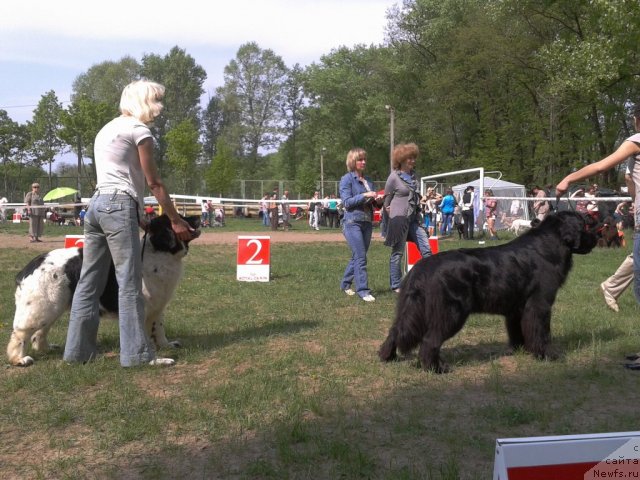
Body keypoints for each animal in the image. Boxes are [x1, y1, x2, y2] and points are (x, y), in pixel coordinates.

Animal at [6, 216, 200, 366]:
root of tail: (31, 265)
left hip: (54, 305)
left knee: (39, 333)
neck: (160, 252)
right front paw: (154, 358)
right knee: (21, 333)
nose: (198, 218)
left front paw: (166, 345)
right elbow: (143, 334)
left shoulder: (158, 305)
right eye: (180, 217)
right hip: (43, 306)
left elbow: (158, 329)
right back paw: (19, 359)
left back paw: (47, 348)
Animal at [380, 212, 596, 374]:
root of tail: (422, 268)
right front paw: (547, 355)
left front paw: (521, 349)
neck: (548, 247)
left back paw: (387, 356)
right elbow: (541, 332)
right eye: (585, 226)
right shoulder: (539, 304)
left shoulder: (516, 309)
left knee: (396, 331)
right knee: (429, 341)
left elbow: (517, 330)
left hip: (412, 309)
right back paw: (436, 368)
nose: (597, 237)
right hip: (451, 313)